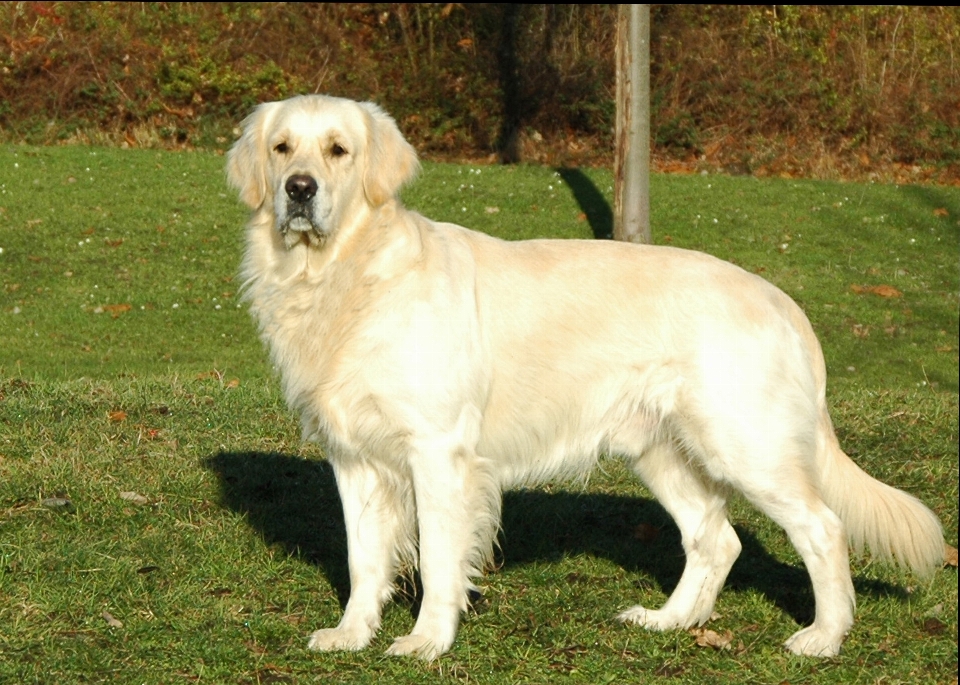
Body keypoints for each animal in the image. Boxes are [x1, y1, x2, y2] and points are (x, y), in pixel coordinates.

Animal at [227, 93, 944, 660]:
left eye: (339, 150)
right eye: (283, 147)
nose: (298, 189)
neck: (345, 276)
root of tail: (783, 301)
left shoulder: (438, 451)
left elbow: (436, 557)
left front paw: (427, 640)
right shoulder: (352, 456)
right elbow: (363, 557)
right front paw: (350, 633)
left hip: (747, 445)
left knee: (822, 528)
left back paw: (824, 636)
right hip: (658, 448)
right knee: (717, 538)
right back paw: (667, 620)